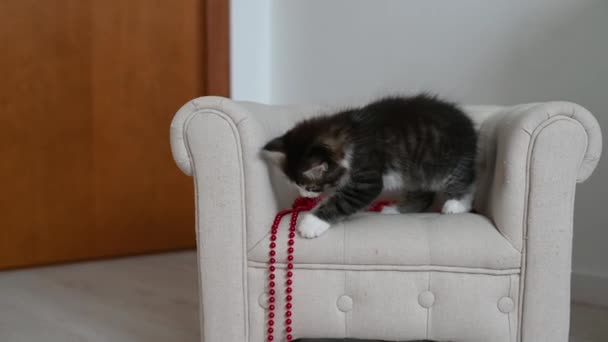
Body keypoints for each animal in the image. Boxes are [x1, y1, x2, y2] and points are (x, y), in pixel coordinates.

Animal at [264, 93, 478, 238]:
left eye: (310, 187)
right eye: (297, 186)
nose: (304, 195)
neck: (346, 135)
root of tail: (469, 124)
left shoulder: (367, 175)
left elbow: (343, 200)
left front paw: (311, 223)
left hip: (450, 161)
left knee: (464, 180)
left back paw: (457, 204)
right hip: (416, 171)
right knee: (423, 196)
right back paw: (395, 211)